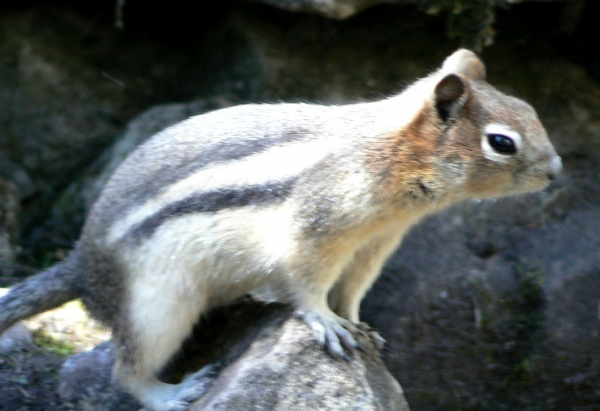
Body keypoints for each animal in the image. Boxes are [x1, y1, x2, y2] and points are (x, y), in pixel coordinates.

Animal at [0, 50, 564, 410]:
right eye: (502, 142)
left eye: (532, 110)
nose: (557, 171)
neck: (390, 157)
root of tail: (82, 265)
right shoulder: (317, 228)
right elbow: (307, 282)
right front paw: (327, 322)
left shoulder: (375, 245)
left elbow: (354, 289)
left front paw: (358, 322)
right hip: (157, 308)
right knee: (127, 369)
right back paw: (172, 393)